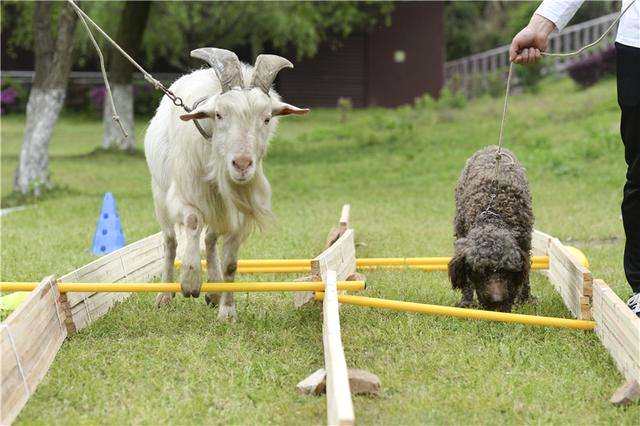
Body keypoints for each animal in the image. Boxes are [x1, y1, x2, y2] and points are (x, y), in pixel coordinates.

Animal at [144, 47, 308, 320]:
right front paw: (190, 282)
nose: (242, 164)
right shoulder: (183, 195)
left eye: (266, 118)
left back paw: (214, 289)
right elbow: (192, 221)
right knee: (170, 241)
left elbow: (230, 263)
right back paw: (165, 295)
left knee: (210, 240)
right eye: (219, 115)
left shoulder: (238, 212)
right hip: (160, 196)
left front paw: (227, 311)